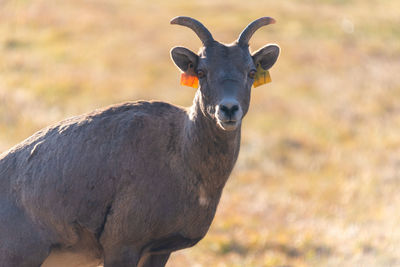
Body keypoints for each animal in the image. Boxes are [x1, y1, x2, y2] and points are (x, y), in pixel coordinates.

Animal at [0, 17, 280, 267]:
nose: (228, 109)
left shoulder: (159, 251)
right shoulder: (123, 248)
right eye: (201, 72)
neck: (181, 155)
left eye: (250, 72)